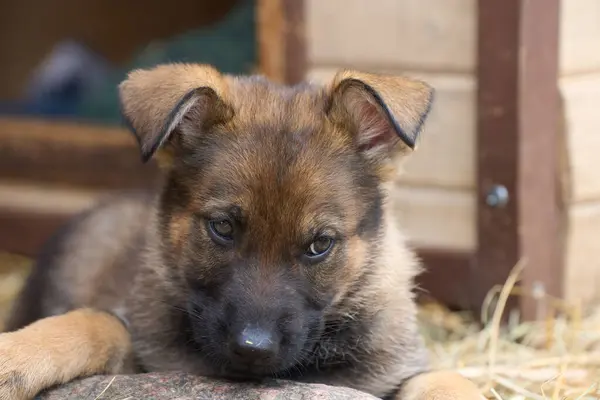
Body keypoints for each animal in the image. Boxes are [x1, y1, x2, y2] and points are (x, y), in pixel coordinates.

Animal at [0, 64, 480, 398]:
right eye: (222, 228)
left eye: (320, 244)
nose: (254, 349)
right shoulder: (153, 353)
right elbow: (96, 321)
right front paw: (15, 357)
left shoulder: (394, 369)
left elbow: (444, 379)